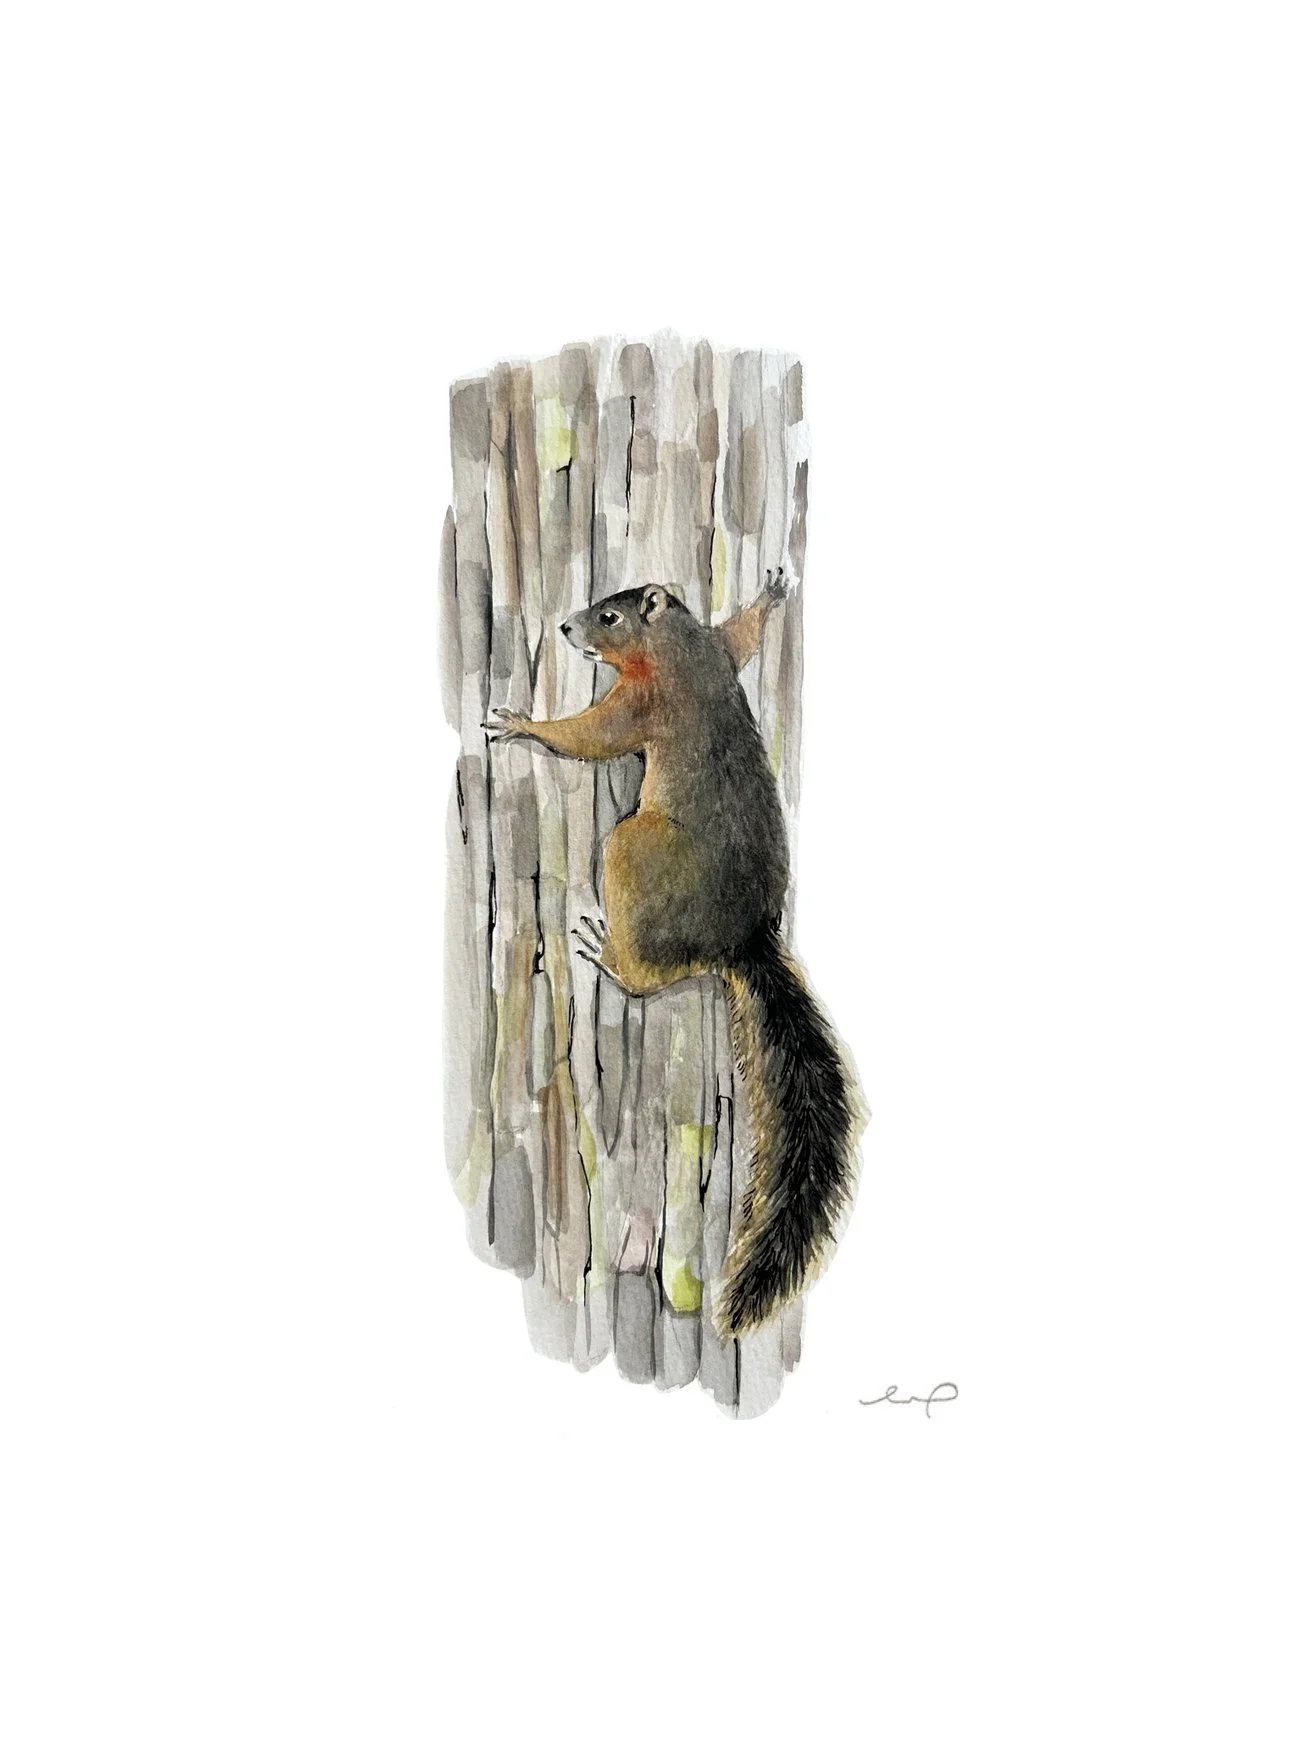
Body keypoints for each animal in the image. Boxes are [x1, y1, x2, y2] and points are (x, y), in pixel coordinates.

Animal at [484, 569, 859, 1339]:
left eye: (610, 616)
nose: (565, 628)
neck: (679, 643)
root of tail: (742, 940)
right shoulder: (721, 646)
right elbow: (743, 634)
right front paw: (770, 595)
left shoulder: (642, 703)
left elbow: (591, 736)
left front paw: (523, 724)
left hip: (630, 849)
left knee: (648, 975)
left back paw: (608, 954)